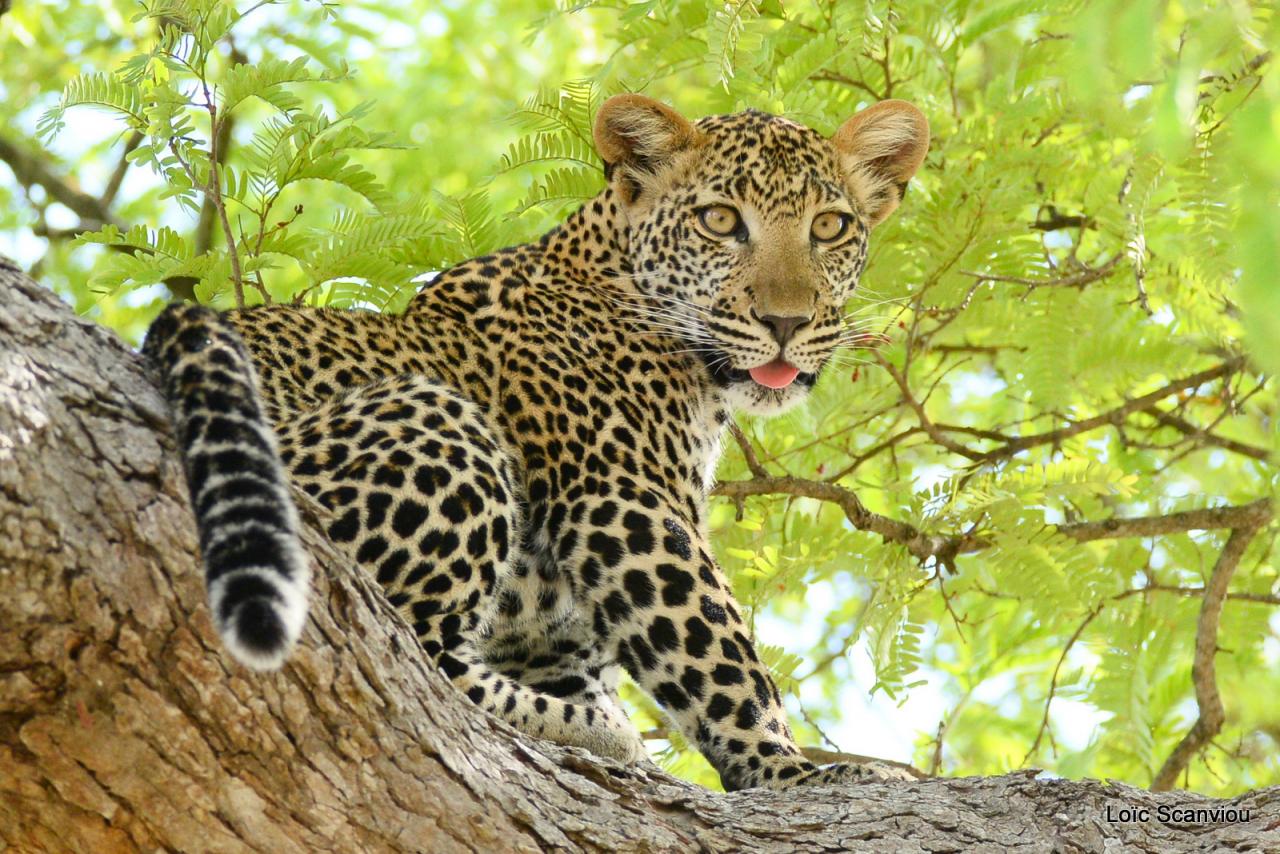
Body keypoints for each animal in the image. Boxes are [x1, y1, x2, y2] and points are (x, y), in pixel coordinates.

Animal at [145, 90, 931, 793]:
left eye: (829, 226)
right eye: (719, 221)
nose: (786, 323)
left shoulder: (554, 629)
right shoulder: (621, 503)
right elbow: (719, 656)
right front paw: (790, 770)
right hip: (439, 422)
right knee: (412, 647)